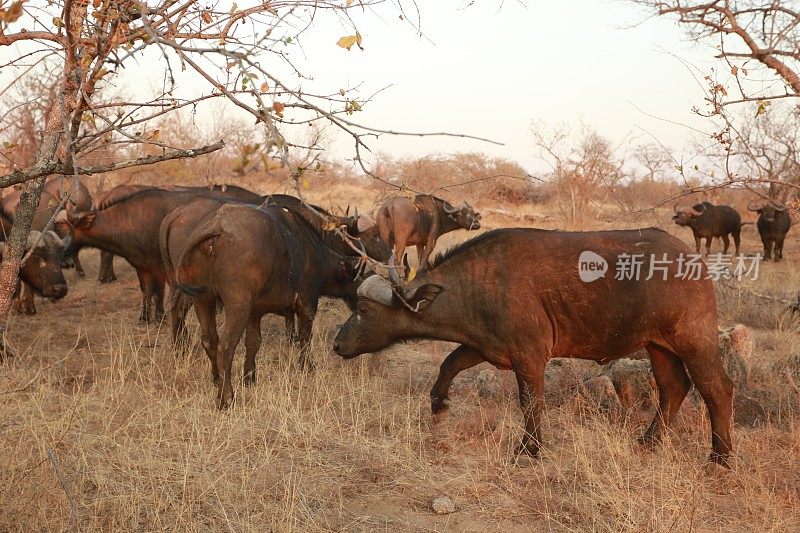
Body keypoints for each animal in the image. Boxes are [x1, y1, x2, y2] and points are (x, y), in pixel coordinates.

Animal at [167, 202, 360, 406]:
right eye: (363, 276)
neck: (313, 252)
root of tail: (217, 226)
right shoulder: (307, 304)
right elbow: (305, 337)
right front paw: (307, 366)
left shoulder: (255, 313)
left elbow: (253, 342)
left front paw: (249, 377)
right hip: (238, 304)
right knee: (226, 346)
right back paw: (226, 397)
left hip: (203, 300)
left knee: (210, 340)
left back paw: (217, 380)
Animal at [334, 228, 736, 466]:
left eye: (364, 310)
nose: (337, 343)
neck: (484, 281)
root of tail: (692, 259)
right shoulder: (485, 345)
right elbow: (449, 363)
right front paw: (438, 403)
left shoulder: (529, 357)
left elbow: (530, 402)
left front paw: (530, 448)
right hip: (657, 346)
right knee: (673, 387)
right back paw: (648, 442)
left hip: (695, 340)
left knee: (717, 388)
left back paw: (721, 455)